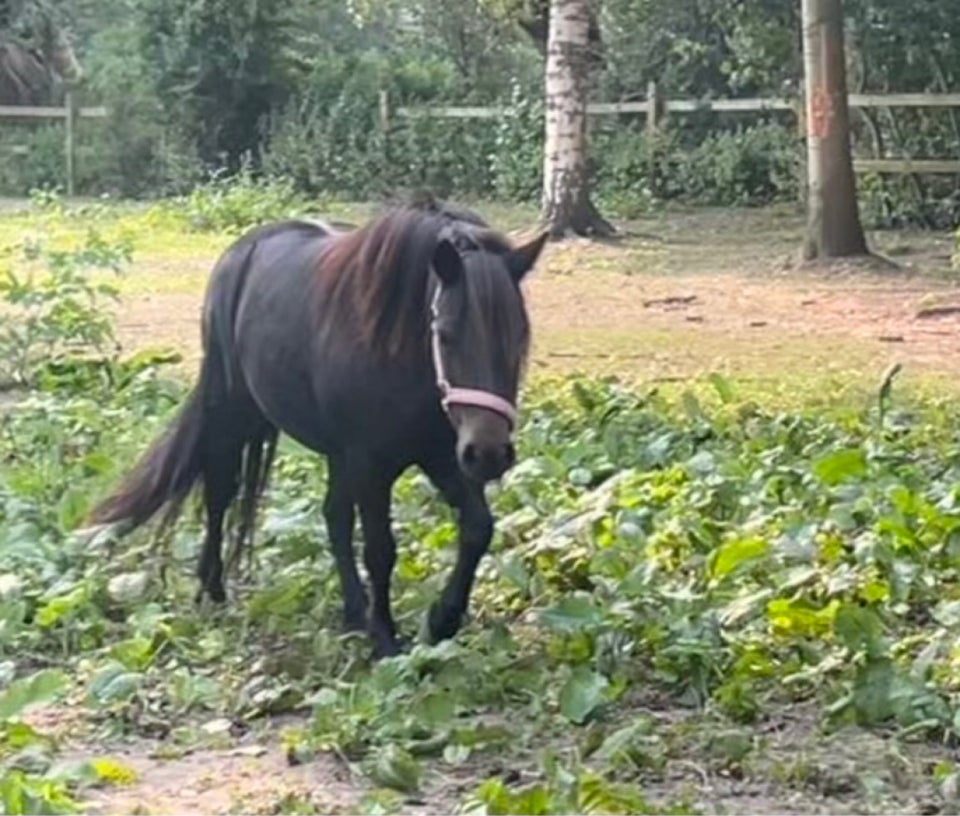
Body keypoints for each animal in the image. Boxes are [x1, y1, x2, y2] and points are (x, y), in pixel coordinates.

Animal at [90, 202, 548, 656]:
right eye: (446, 333)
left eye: (519, 336)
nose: (490, 453)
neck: (400, 354)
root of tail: (241, 251)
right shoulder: (371, 465)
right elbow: (380, 549)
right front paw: (386, 639)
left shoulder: (442, 455)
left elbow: (477, 529)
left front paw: (440, 621)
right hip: (232, 413)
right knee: (220, 493)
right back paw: (213, 591)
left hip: (337, 453)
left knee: (333, 518)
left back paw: (352, 613)